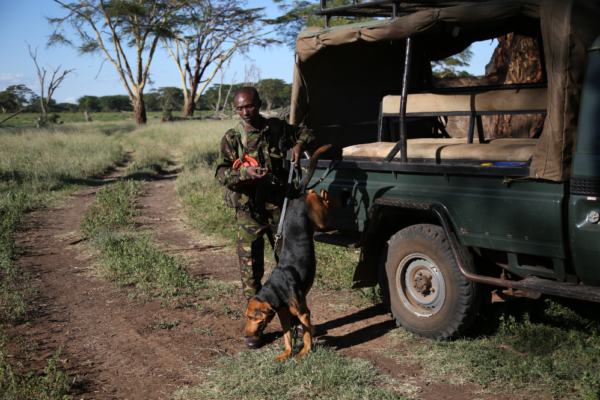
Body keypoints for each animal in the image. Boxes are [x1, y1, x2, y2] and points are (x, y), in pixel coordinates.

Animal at [243, 145, 338, 362]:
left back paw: (325, 193)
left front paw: (304, 351)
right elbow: (287, 337)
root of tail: (294, 197)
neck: (276, 290)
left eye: (252, 317)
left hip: (322, 220)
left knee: (320, 197)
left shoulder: (303, 313)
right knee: (313, 191)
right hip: (316, 220)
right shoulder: (284, 315)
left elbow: (307, 334)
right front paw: (285, 354)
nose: (245, 334)